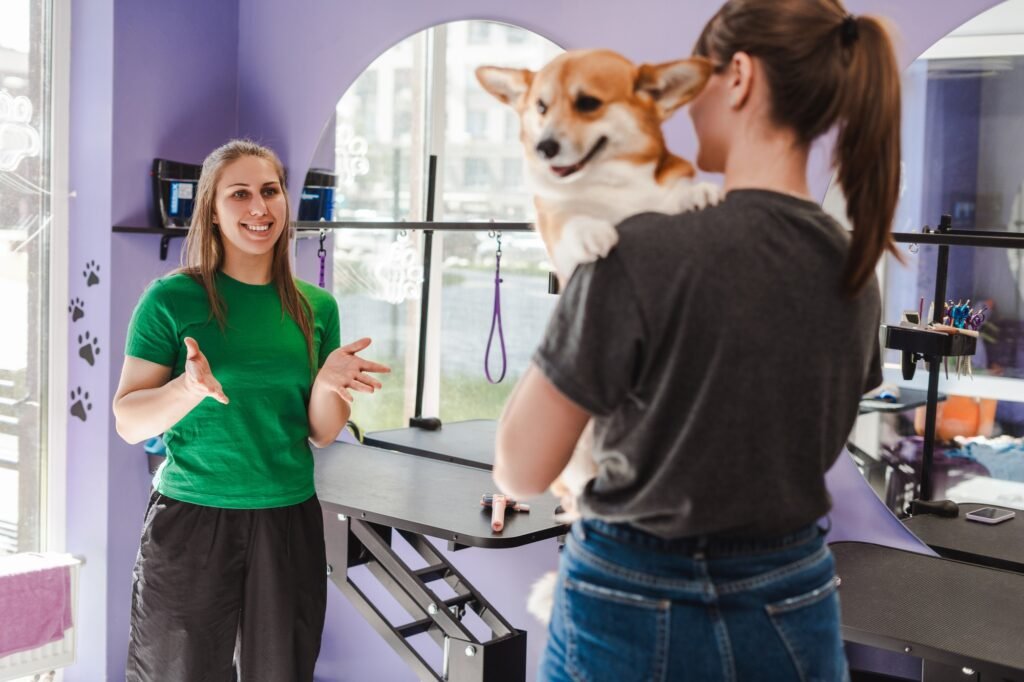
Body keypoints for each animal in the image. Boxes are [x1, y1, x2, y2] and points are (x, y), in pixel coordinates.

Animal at [479, 47, 720, 622]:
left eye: (587, 103)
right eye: (540, 107)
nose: (544, 146)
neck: (612, 188)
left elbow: (679, 190)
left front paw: (699, 193)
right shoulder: (553, 222)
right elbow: (571, 222)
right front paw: (591, 232)